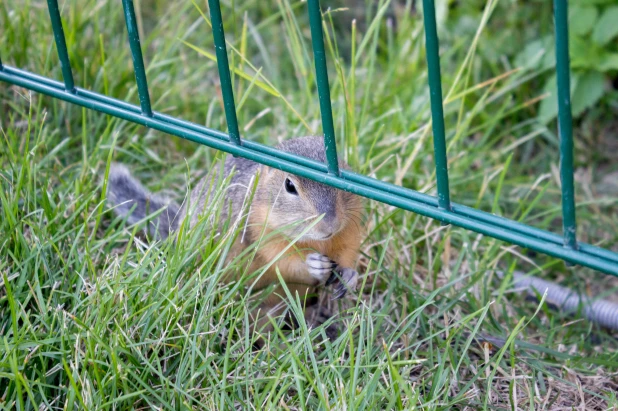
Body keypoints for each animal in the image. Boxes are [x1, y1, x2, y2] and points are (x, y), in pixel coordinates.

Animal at [107, 135, 364, 342]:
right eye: (290, 185)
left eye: (342, 171)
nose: (329, 223)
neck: (316, 240)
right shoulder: (261, 234)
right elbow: (282, 261)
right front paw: (312, 264)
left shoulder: (348, 231)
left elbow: (348, 252)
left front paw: (349, 276)